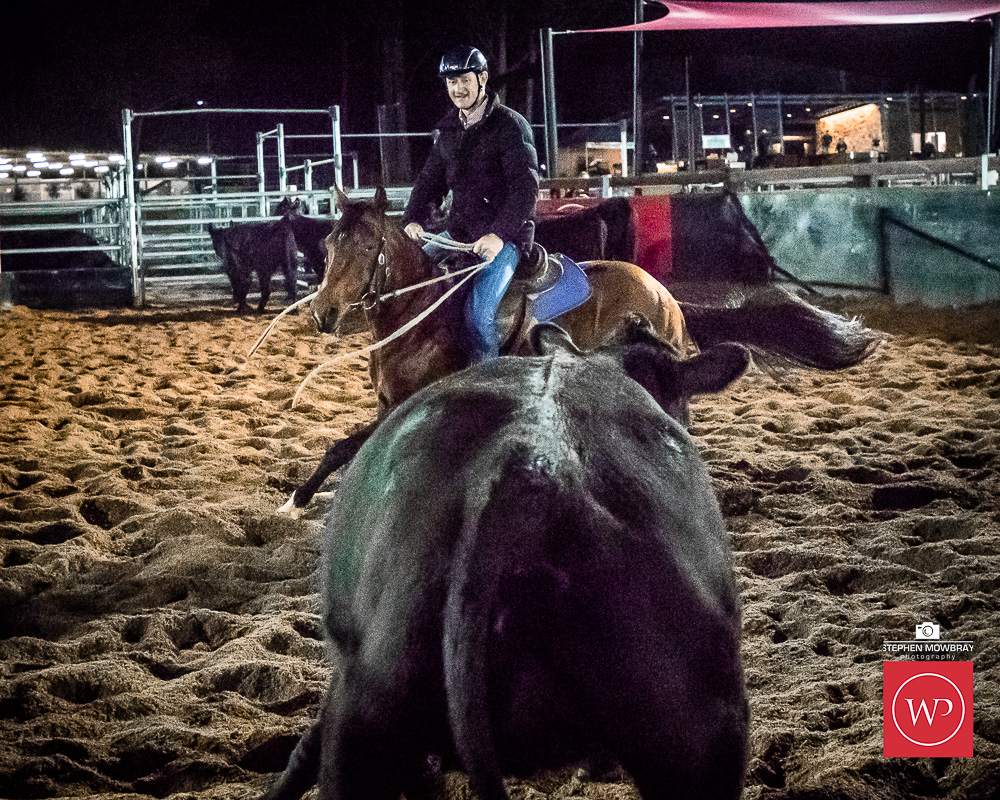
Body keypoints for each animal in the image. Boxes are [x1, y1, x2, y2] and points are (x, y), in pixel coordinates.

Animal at [281, 186, 881, 515]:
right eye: (329, 244)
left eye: (368, 248)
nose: (323, 313)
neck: (419, 316)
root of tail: (665, 293)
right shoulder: (390, 405)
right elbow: (340, 449)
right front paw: (297, 500)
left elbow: (349, 448)